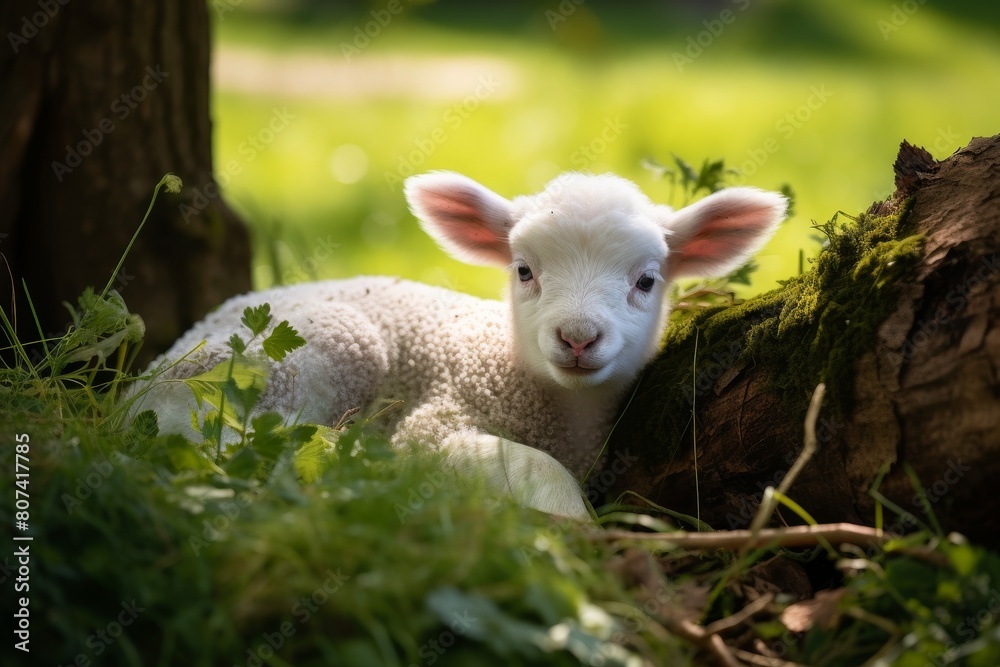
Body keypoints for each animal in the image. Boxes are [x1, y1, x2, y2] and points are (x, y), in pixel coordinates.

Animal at [142, 171, 786, 520]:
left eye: (647, 281)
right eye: (523, 270)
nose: (577, 337)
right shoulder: (436, 424)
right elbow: (534, 467)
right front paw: (574, 528)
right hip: (301, 357)